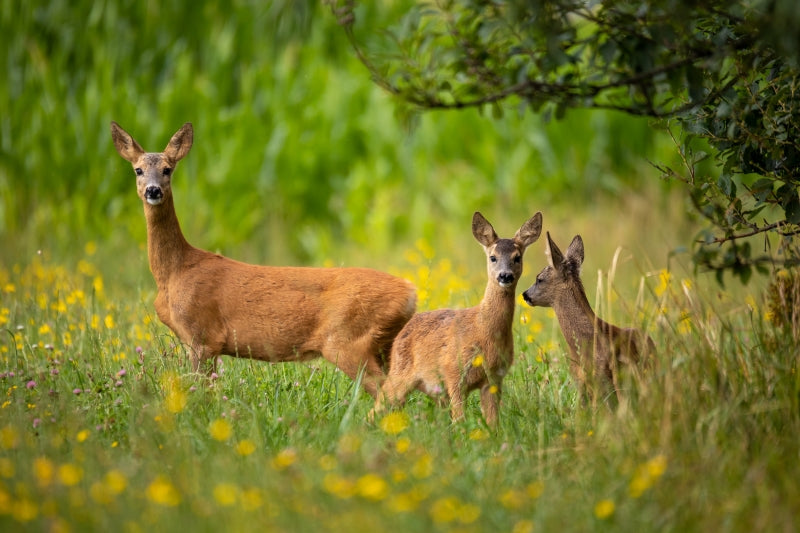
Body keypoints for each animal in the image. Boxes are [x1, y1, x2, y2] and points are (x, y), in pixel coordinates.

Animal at [110, 121, 416, 396]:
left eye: (168, 169)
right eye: (138, 170)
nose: (153, 190)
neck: (174, 272)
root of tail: (410, 292)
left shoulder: (202, 337)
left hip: (347, 341)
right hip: (383, 344)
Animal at [370, 211, 543, 428]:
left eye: (517, 257)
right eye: (493, 257)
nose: (505, 276)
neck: (482, 331)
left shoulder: (494, 378)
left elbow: (493, 422)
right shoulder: (453, 372)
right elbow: (460, 419)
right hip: (401, 373)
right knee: (378, 404)